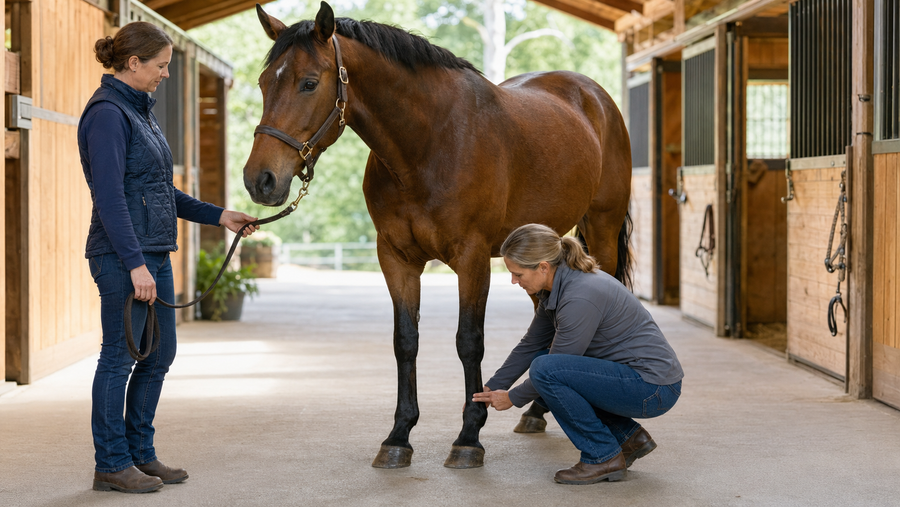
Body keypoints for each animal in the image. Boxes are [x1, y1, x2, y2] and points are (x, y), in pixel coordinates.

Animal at [243, 1, 633, 469]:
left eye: (308, 83)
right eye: (265, 82)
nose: (260, 180)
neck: (427, 144)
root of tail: (595, 97)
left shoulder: (472, 258)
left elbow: (469, 342)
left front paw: (469, 437)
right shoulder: (396, 258)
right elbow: (405, 341)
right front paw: (399, 436)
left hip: (603, 228)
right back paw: (537, 411)